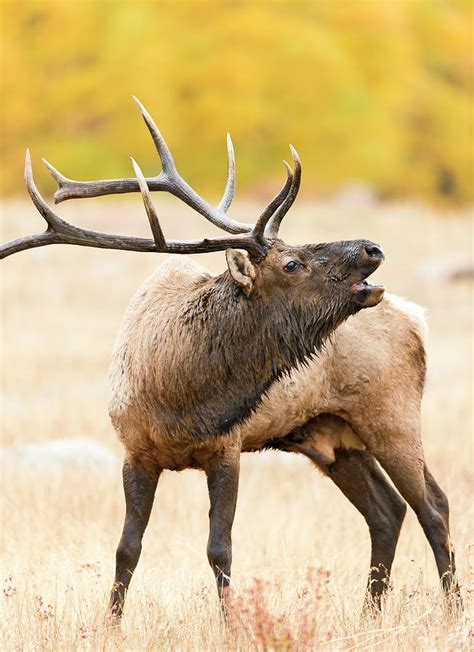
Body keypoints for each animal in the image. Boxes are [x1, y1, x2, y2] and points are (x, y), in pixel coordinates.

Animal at [0, 98, 460, 616]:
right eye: (292, 262)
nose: (372, 247)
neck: (180, 398)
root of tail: (416, 318)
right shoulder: (135, 450)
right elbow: (126, 548)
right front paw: (111, 622)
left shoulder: (228, 449)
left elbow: (220, 550)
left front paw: (231, 622)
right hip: (334, 436)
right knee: (388, 511)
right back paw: (370, 613)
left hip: (391, 412)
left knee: (434, 505)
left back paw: (451, 610)